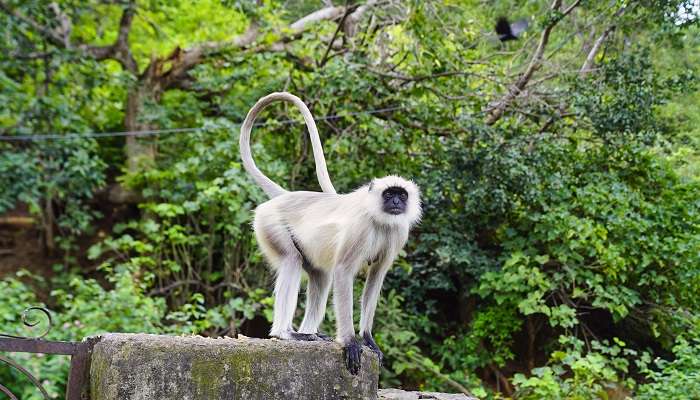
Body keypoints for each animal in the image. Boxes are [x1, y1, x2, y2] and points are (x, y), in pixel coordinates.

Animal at [238, 92, 422, 374]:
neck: (379, 220)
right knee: (292, 261)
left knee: (320, 276)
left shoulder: (398, 232)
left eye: (401, 195)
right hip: (269, 224)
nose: (395, 202)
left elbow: (376, 276)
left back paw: (309, 333)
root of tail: (285, 196)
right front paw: (349, 342)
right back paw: (285, 333)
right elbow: (344, 272)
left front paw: (367, 338)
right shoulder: (360, 227)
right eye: (389, 193)